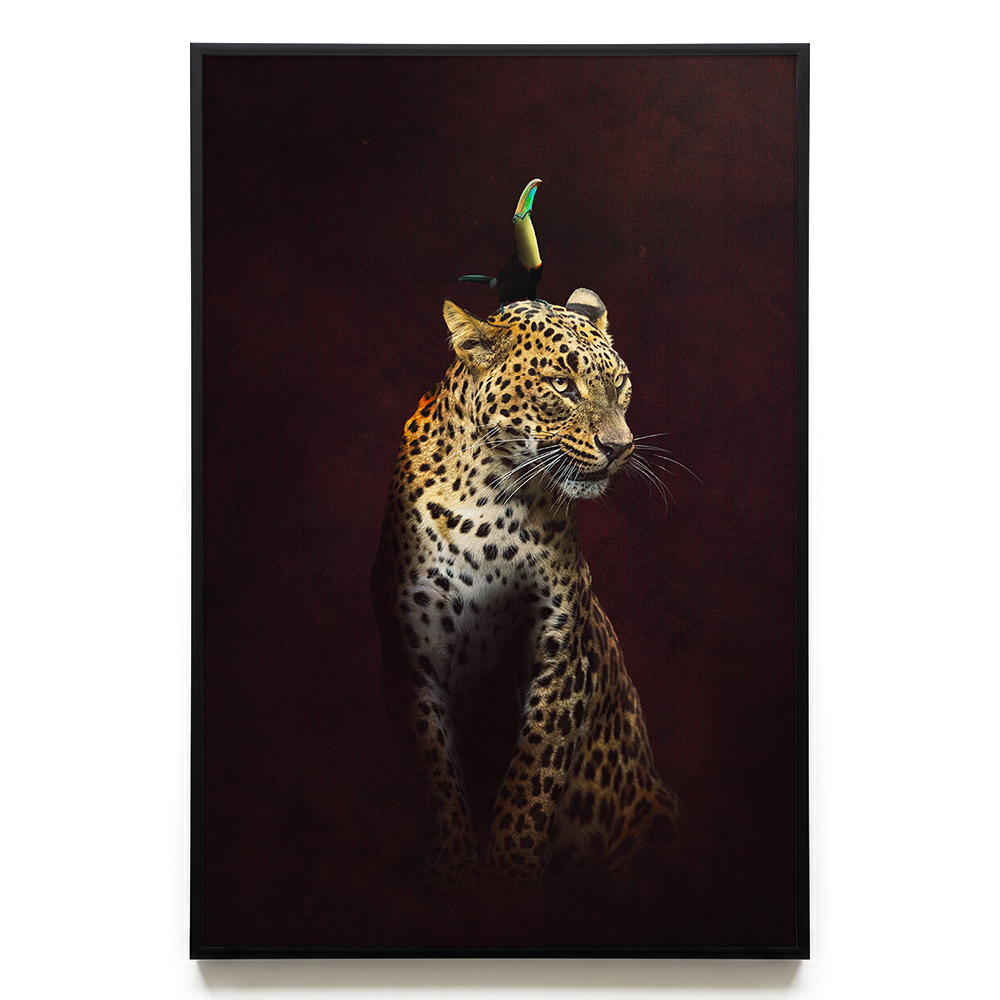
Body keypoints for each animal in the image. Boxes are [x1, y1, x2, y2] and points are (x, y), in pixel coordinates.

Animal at [371, 288, 682, 888]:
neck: (490, 502)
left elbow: (532, 777)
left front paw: (510, 873)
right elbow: (438, 772)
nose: (621, 447)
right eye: (562, 385)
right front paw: (455, 869)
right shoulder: (415, 658)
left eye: (621, 384)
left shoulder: (560, 655)